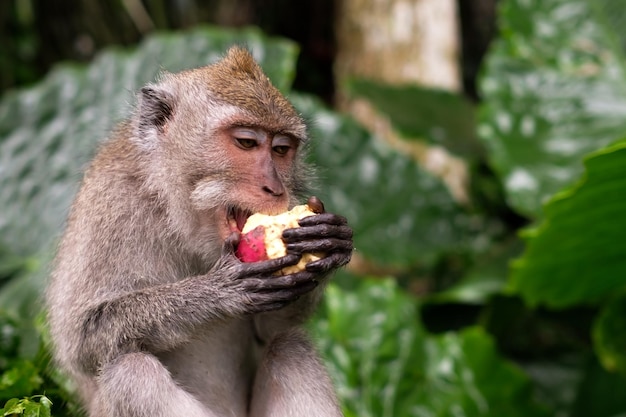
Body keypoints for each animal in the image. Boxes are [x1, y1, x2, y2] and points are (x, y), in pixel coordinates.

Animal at [45, 46, 352, 416]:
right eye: (246, 143)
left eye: (281, 149)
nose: (275, 189)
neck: (173, 210)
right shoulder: (111, 202)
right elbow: (80, 339)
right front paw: (217, 292)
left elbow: (272, 330)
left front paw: (329, 241)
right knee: (131, 372)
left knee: (290, 347)